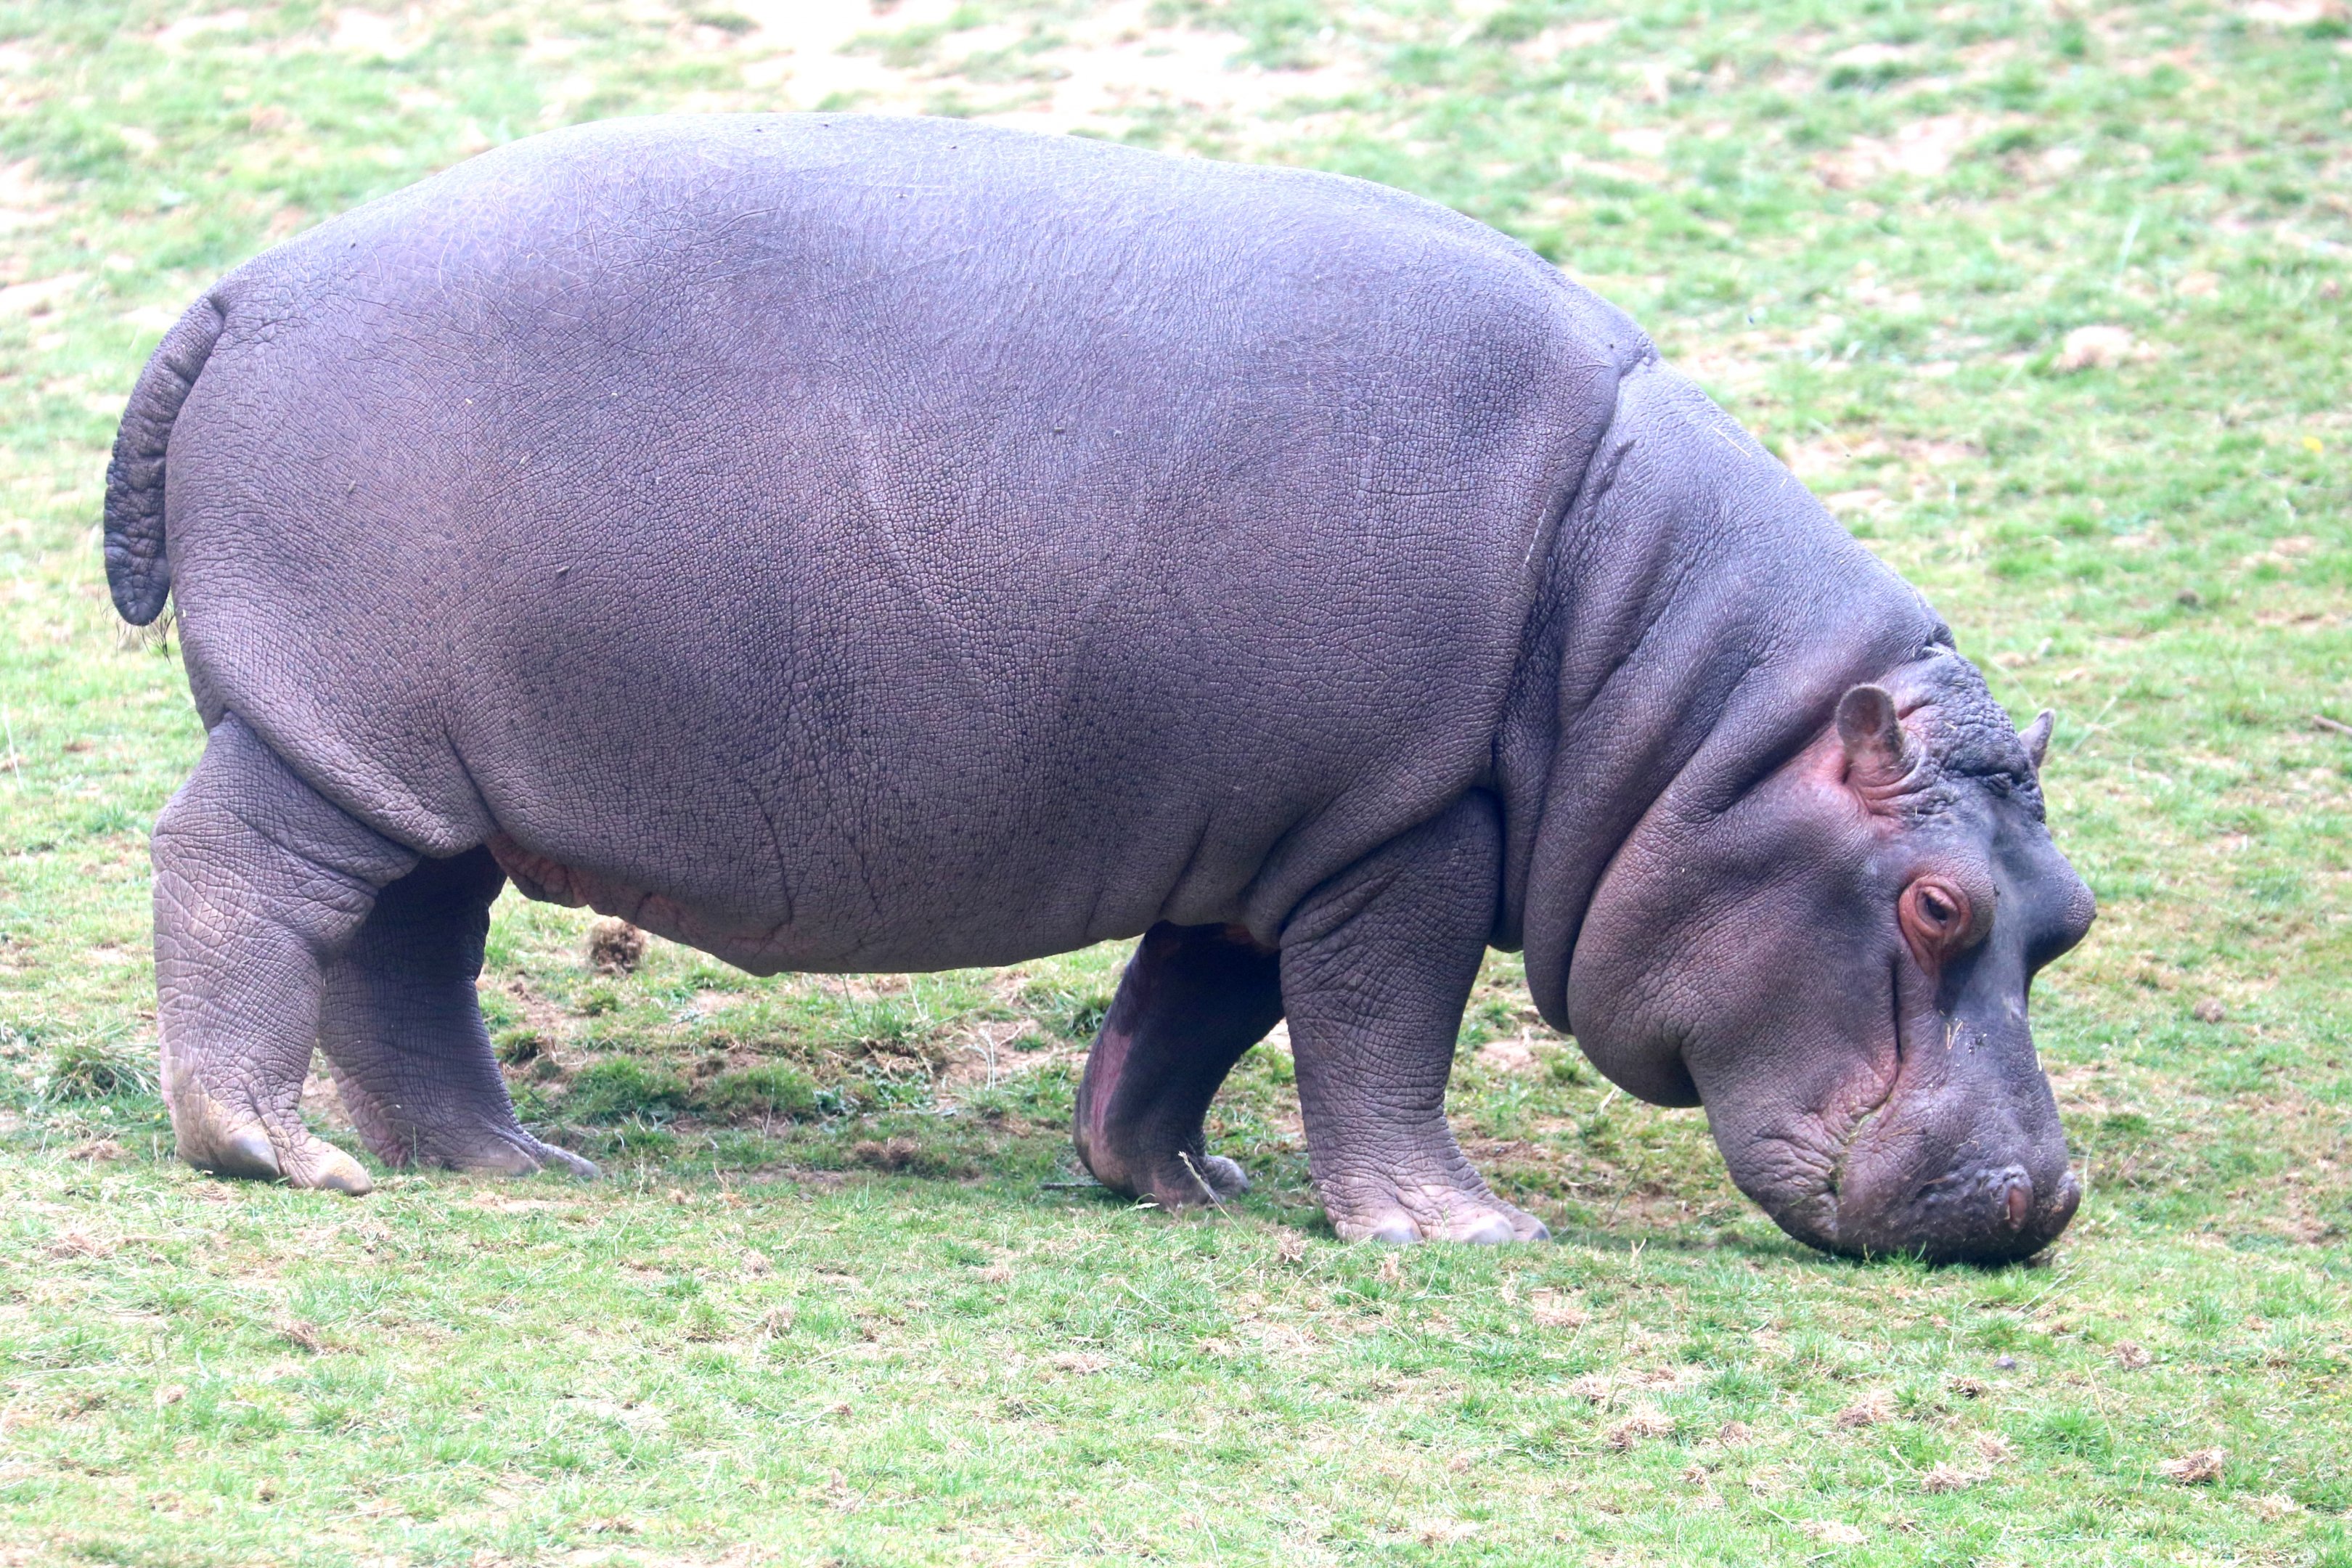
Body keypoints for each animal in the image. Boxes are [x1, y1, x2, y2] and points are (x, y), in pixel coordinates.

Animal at [105, 114, 2092, 1263]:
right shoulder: (1408, 824)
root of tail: (245, 284)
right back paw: (273, 1156)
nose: (2038, 1200)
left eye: (2064, 913)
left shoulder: (1279, 825)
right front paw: (1459, 1232)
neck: (1679, 698)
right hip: (332, 731)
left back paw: (516, 1166)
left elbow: (1187, 1015)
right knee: (237, 877)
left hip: (431, 766)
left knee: (402, 952)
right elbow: (1381, 1030)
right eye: (1932, 903)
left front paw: (1173, 1186)